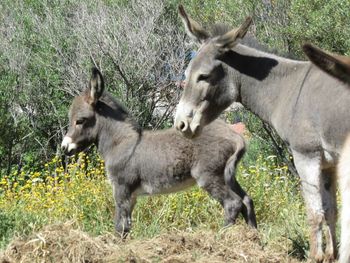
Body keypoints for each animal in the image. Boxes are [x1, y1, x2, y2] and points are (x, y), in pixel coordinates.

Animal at [61, 69, 256, 236]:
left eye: (80, 121)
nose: (64, 148)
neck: (121, 143)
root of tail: (234, 135)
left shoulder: (122, 188)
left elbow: (120, 226)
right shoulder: (131, 195)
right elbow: (127, 226)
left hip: (209, 176)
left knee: (233, 203)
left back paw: (221, 236)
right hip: (227, 175)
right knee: (246, 200)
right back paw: (254, 237)